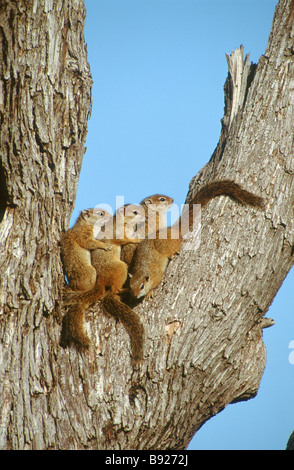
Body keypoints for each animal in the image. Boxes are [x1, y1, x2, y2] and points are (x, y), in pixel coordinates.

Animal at [61, 204, 146, 362]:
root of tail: (100, 281)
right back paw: (124, 289)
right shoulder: (116, 234)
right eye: (135, 212)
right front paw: (137, 240)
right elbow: (123, 240)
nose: (144, 216)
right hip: (119, 268)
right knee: (115, 289)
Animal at [129, 179, 264, 298]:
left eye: (142, 286)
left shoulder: (156, 274)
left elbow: (156, 283)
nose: (134, 296)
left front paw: (150, 292)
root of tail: (173, 230)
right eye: (131, 287)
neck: (142, 270)